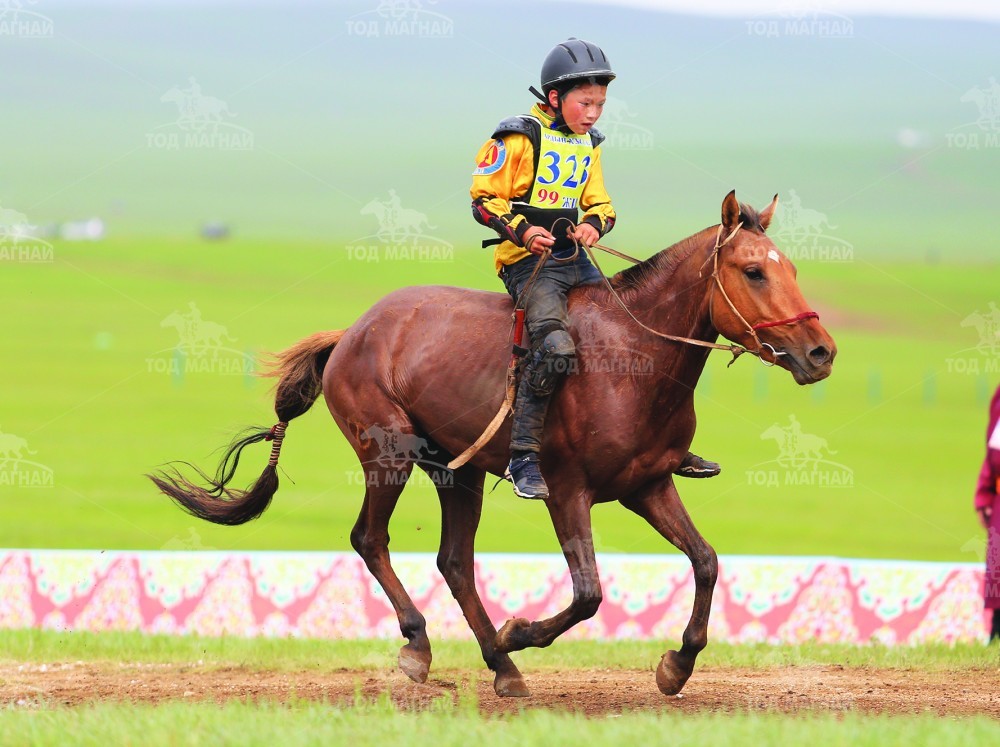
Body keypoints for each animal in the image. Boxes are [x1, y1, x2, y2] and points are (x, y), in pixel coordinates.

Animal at [150, 191, 836, 699]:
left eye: (793, 269)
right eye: (753, 271)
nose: (820, 353)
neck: (632, 358)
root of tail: (353, 332)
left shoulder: (648, 485)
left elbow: (707, 561)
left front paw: (676, 666)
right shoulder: (567, 491)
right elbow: (588, 594)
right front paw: (517, 631)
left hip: (459, 472)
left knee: (454, 562)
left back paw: (501, 669)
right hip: (389, 456)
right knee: (370, 539)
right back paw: (423, 646)